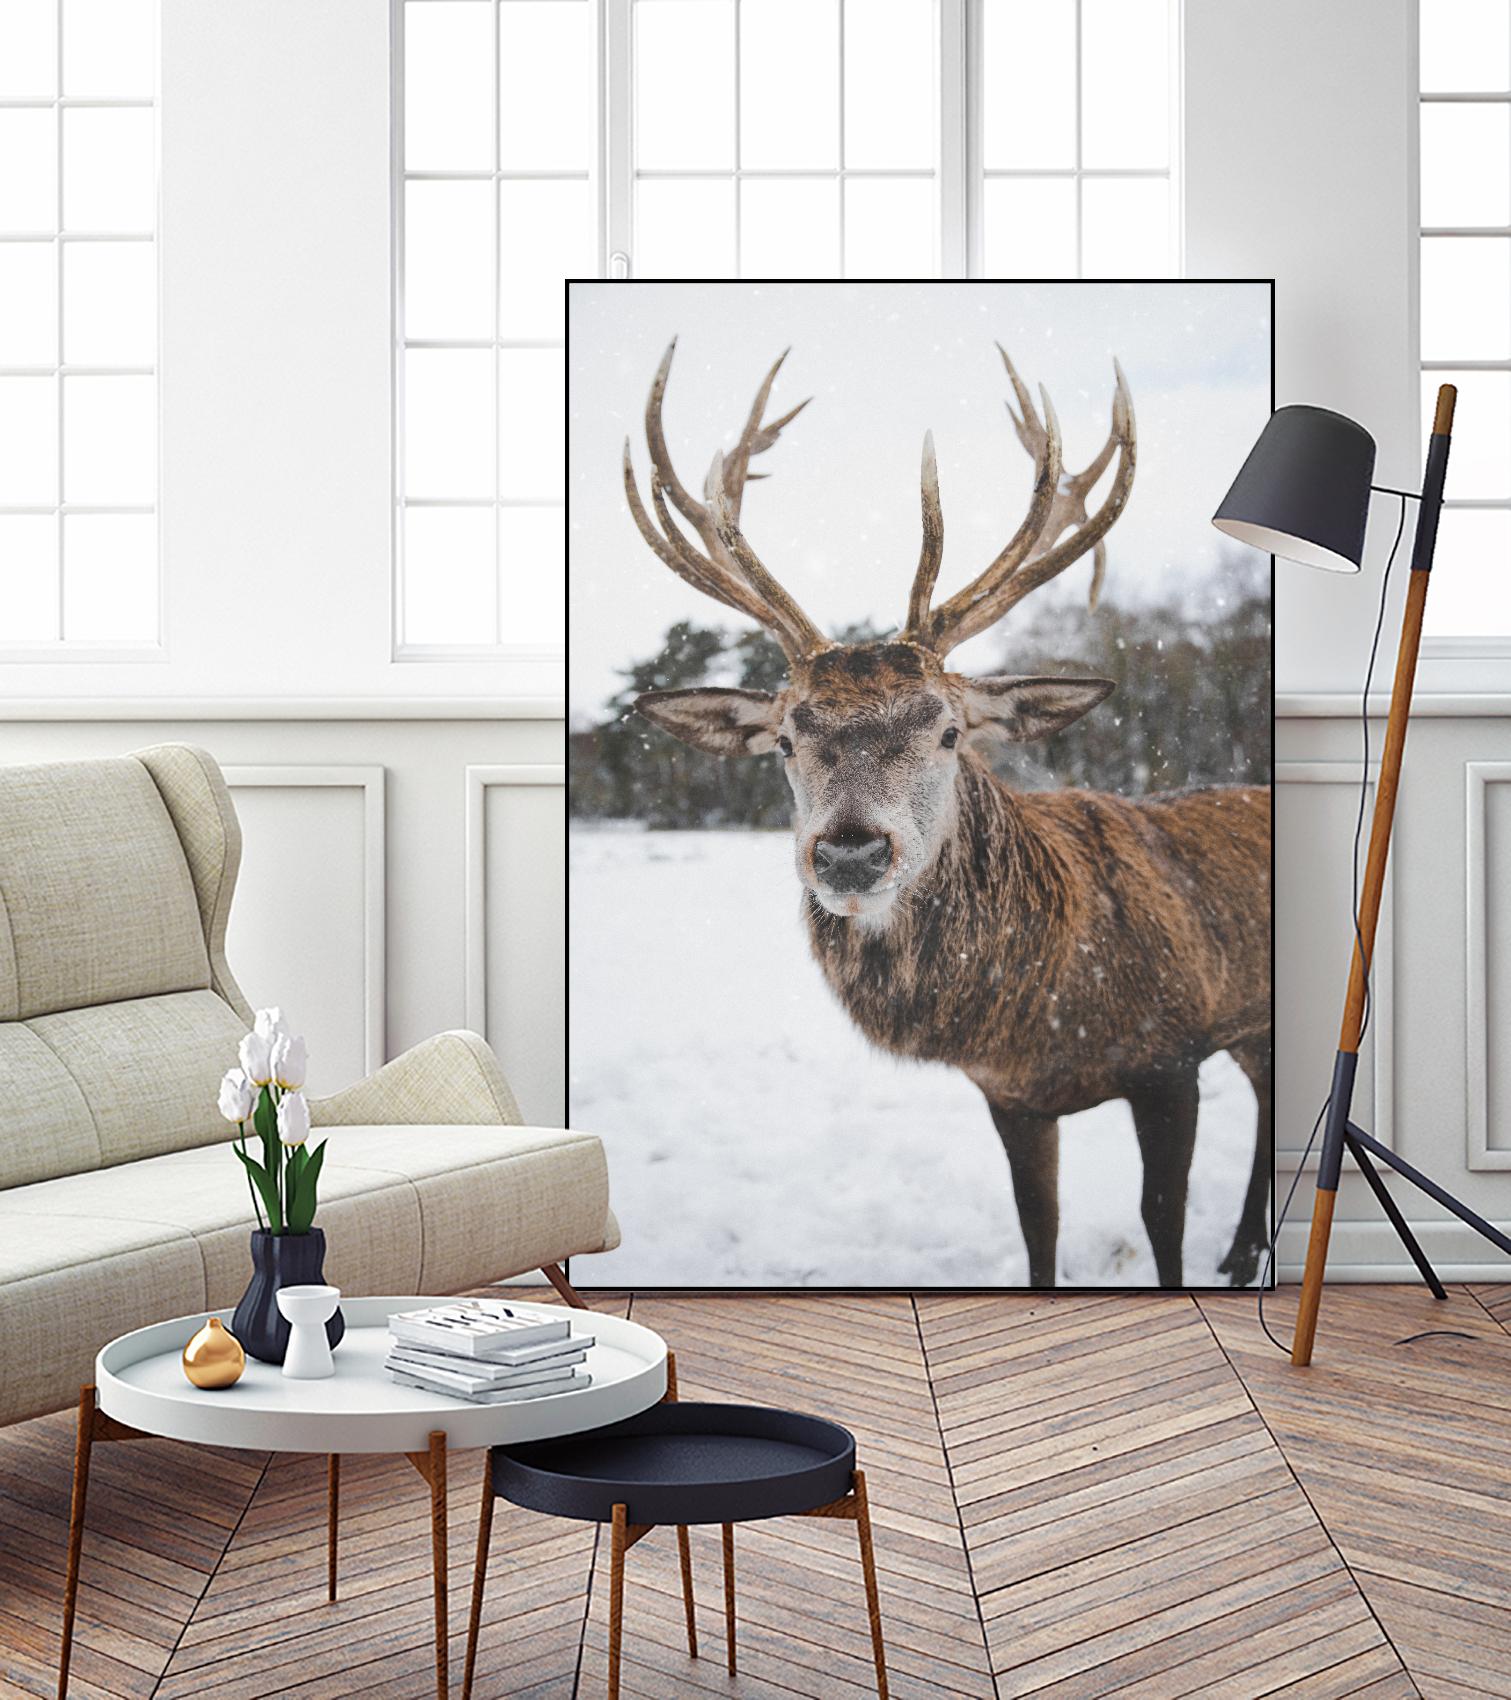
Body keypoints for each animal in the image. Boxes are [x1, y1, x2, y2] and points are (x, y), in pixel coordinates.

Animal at [622, 340, 1272, 1289]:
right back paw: (1245, 1246)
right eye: (784, 739)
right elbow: (1037, 1224)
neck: (1044, 1013)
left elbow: (1161, 1221)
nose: (850, 854)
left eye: (949, 730)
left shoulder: (1171, 1052)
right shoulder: (1009, 1095)